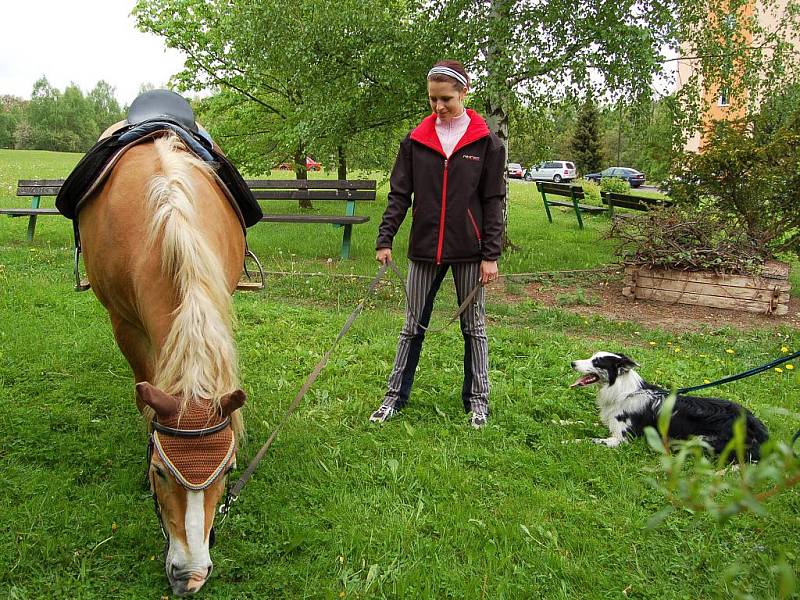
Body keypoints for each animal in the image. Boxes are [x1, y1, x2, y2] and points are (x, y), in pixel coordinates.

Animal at [568, 352, 768, 460]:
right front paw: (563, 423)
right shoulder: (610, 424)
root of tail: (752, 421)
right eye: (591, 357)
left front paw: (567, 442)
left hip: (701, 440)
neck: (624, 392)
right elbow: (580, 423)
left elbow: (589, 439)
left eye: (596, 362)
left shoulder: (622, 439)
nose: (572, 363)